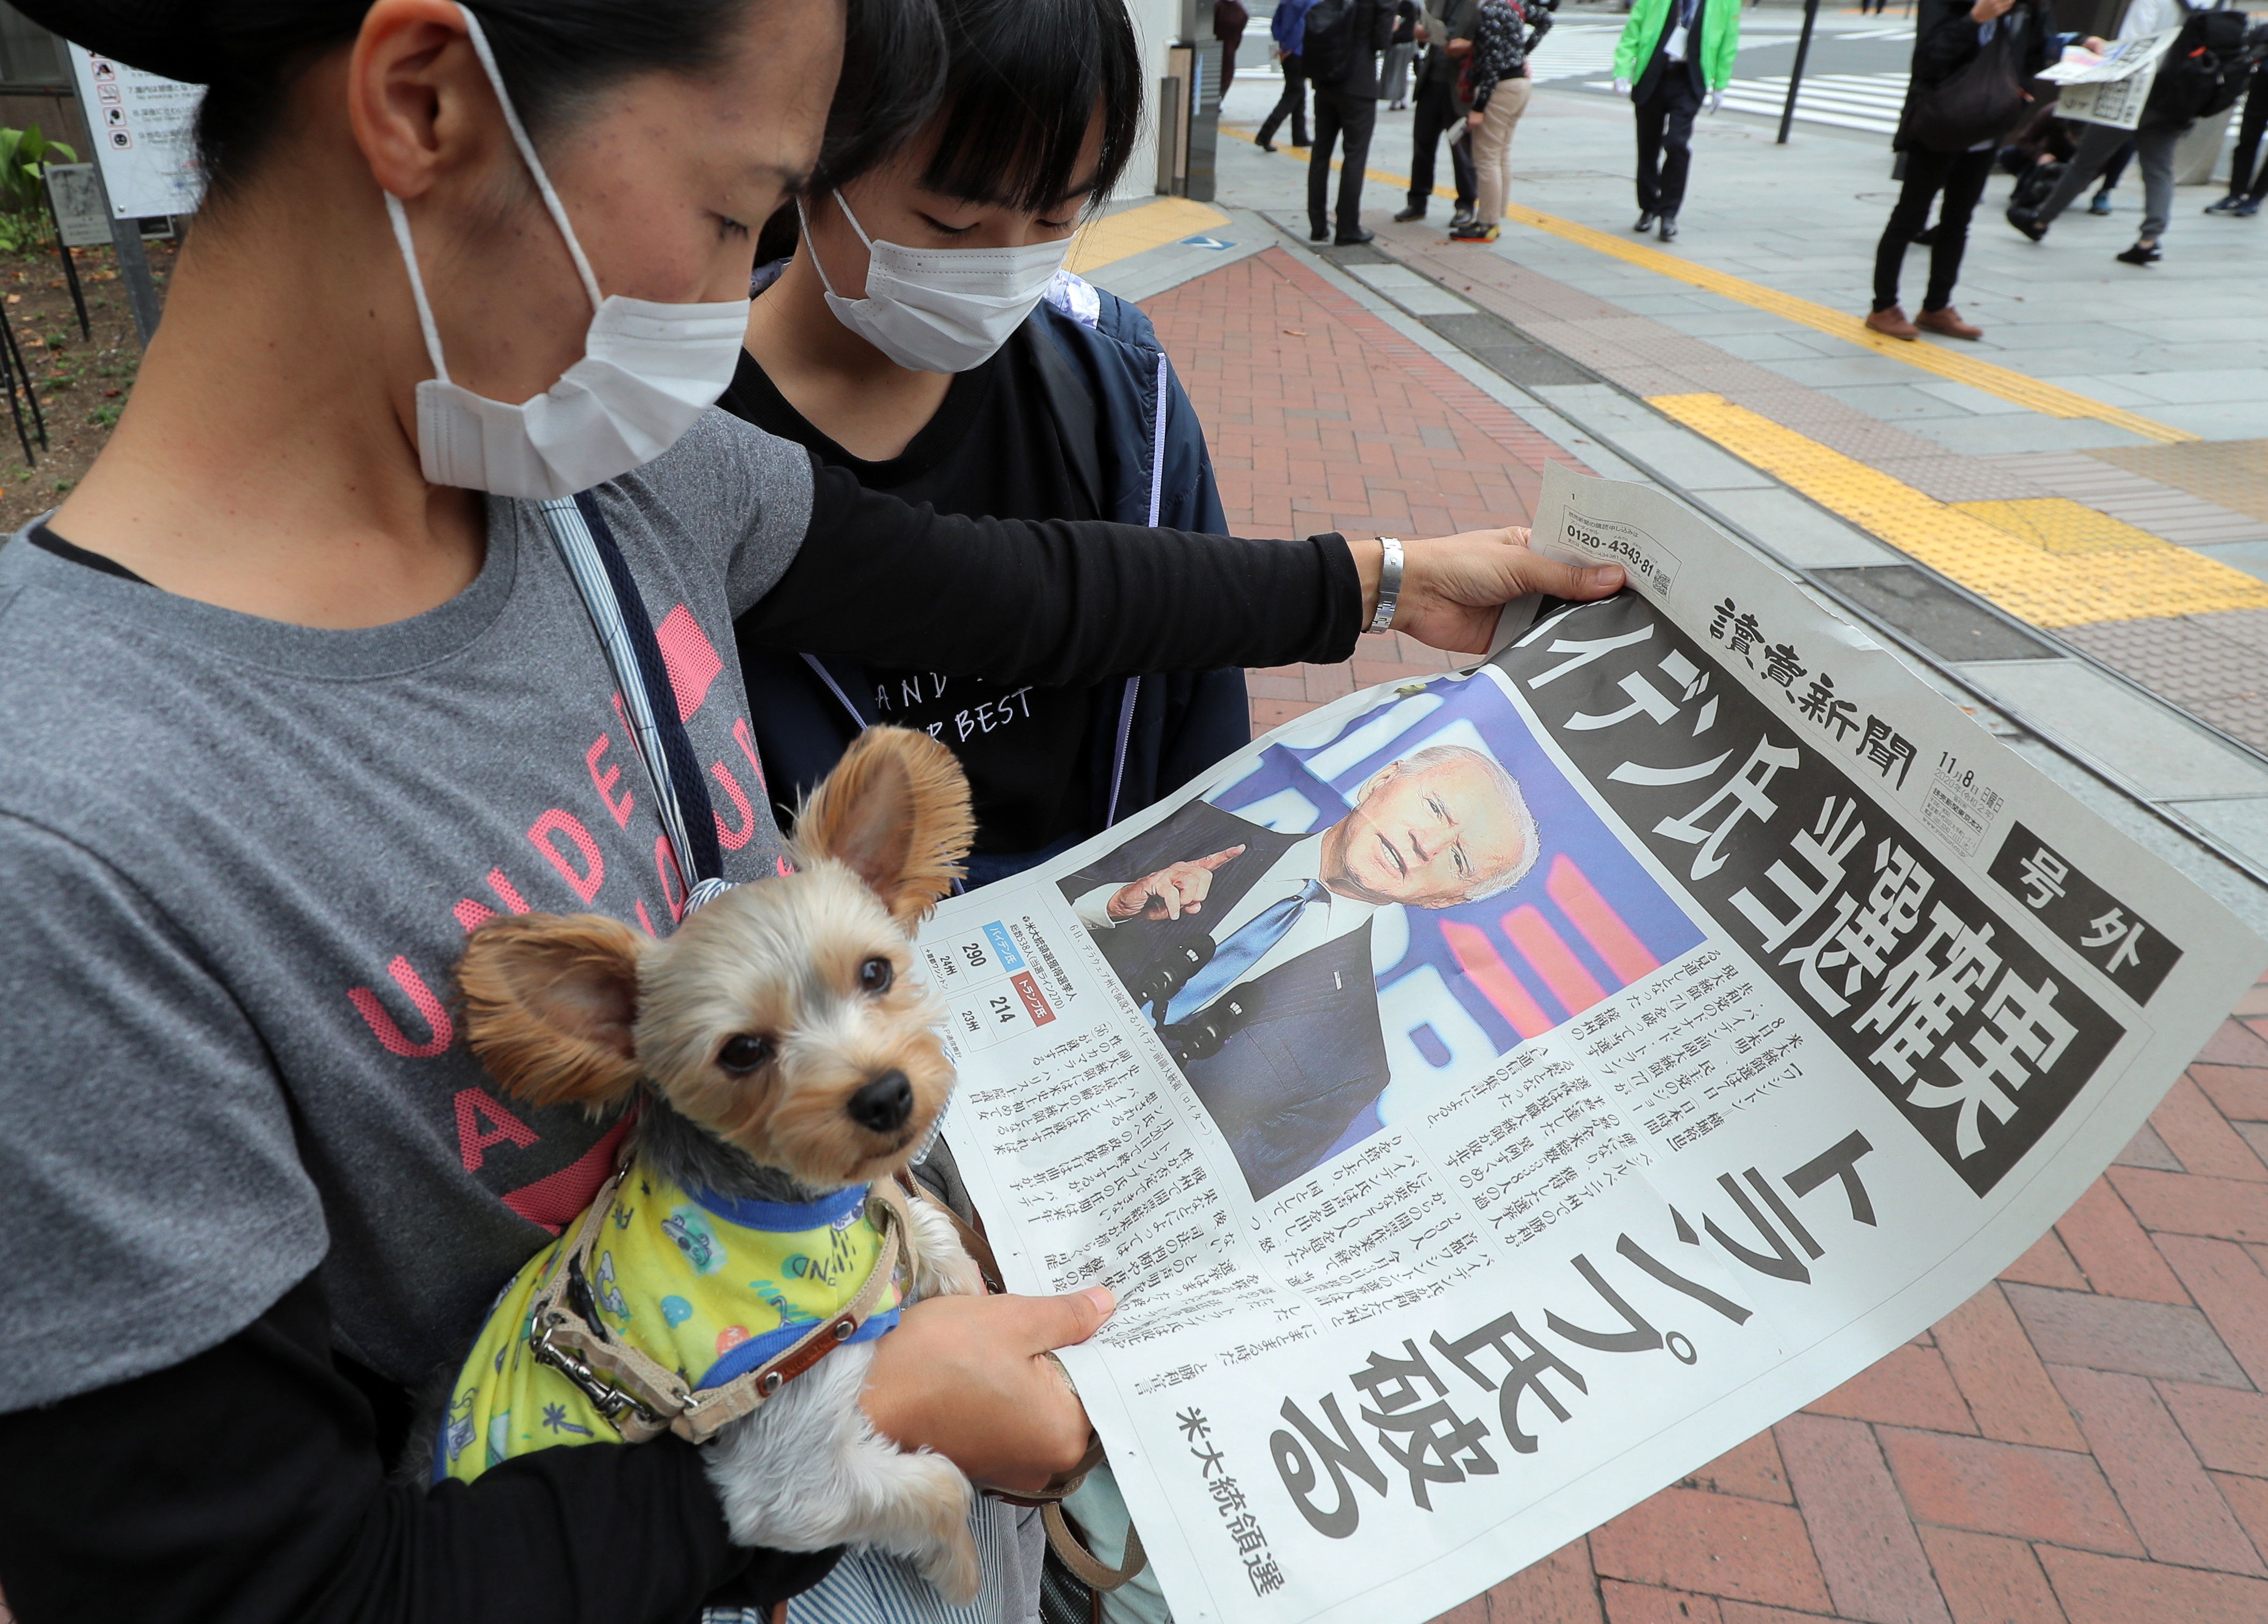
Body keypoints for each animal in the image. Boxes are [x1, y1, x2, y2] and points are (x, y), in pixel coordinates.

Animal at [433, 726, 984, 1597]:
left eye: (876, 971)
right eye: (742, 1052)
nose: (886, 1094)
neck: (786, 1199)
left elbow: (914, 1219)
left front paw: (953, 1271)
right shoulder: (786, 1453)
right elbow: (936, 1486)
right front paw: (958, 1565)